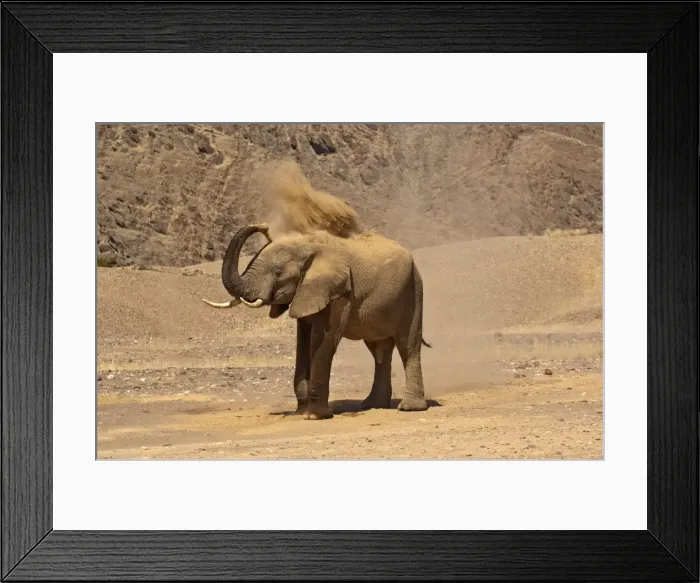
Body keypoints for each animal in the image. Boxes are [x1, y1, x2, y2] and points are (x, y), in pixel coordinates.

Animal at [203, 222, 431, 420]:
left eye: (278, 272)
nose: (264, 226)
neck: (308, 245)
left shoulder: (340, 291)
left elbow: (324, 340)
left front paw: (316, 416)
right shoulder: (307, 292)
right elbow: (303, 341)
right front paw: (301, 413)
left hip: (414, 290)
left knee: (407, 345)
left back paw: (410, 408)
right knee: (380, 351)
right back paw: (372, 405)